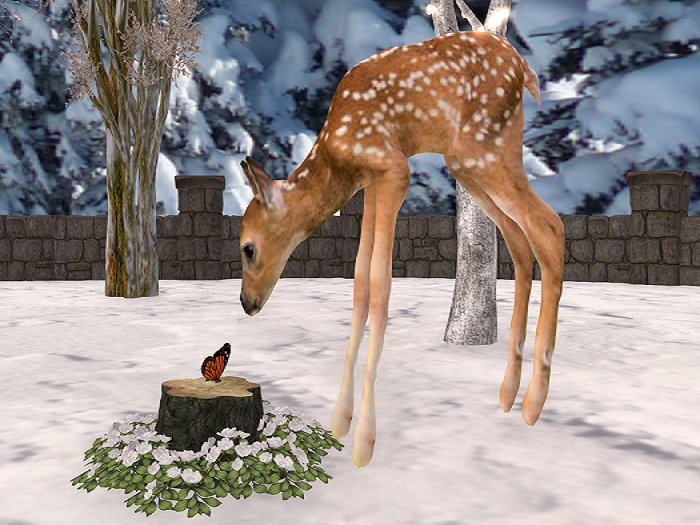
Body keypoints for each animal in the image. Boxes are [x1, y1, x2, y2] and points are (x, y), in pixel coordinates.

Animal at [238, 9, 564, 468]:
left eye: (248, 248)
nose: (247, 303)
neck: (338, 160)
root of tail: (522, 66)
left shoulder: (393, 170)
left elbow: (380, 287)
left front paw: (364, 442)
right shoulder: (374, 179)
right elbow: (359, 285)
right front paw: (340, 422)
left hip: (483, 149)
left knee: (550, 227)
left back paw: (534, 402)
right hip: (468, 162)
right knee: (520, 240)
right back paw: (509, 392)